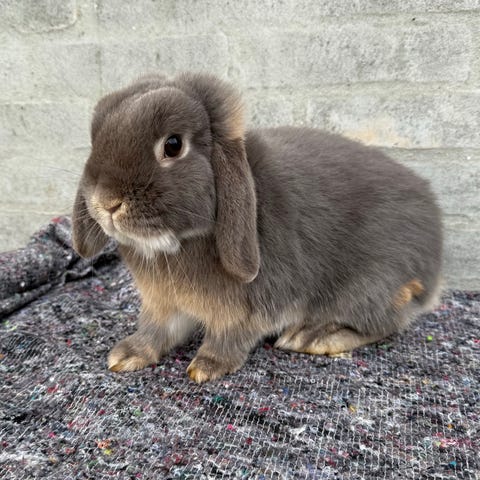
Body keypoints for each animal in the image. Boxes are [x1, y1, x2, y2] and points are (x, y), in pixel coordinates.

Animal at [72, 72, 443, 383]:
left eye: (173, 145)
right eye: (95, 137)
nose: (107, 202)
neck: (175, 245)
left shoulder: (248, 309)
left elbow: (230, 336)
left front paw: (207, 366)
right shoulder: (162, 305)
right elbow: (156, 330)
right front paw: (128, 354)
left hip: (368, 288)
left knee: (388, 321)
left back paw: (314, 335)